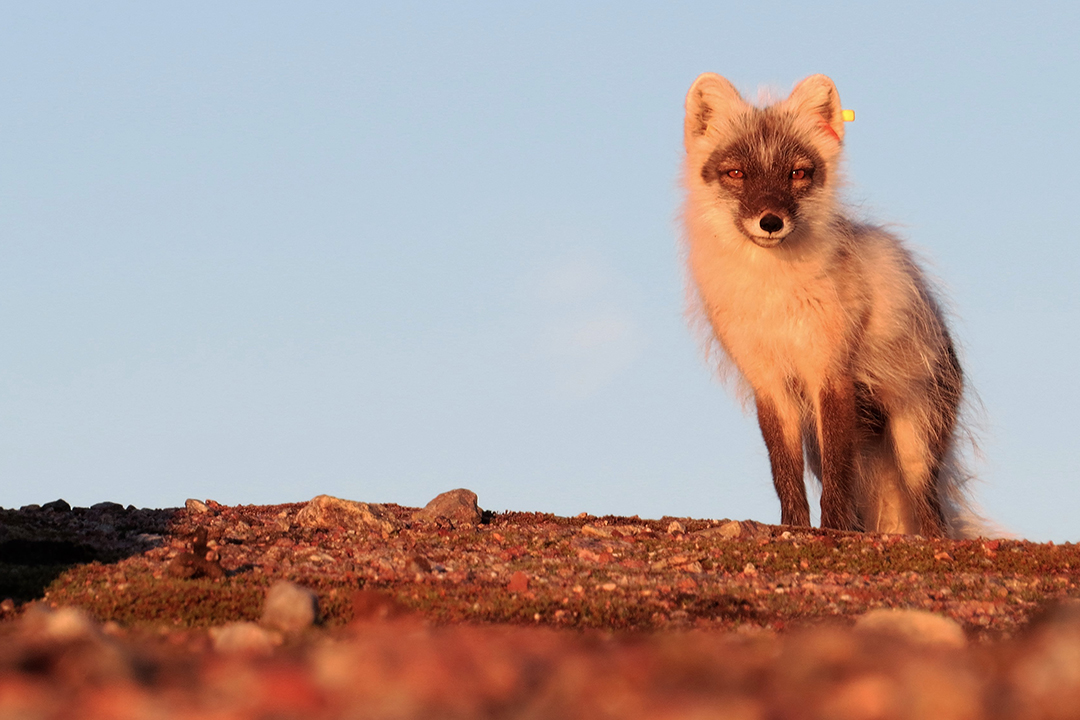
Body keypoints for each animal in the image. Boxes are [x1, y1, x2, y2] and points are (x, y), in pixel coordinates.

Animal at [686, 73, 984, 539]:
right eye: (736, 173)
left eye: (798, 173)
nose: (770, 222)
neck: (776, 294)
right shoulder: (770, 384)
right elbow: (784, 474)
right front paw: (794, 528)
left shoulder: (831, 372)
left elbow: (838, 475)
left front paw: (835, 528)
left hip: (913, 444)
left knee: (930, 512)